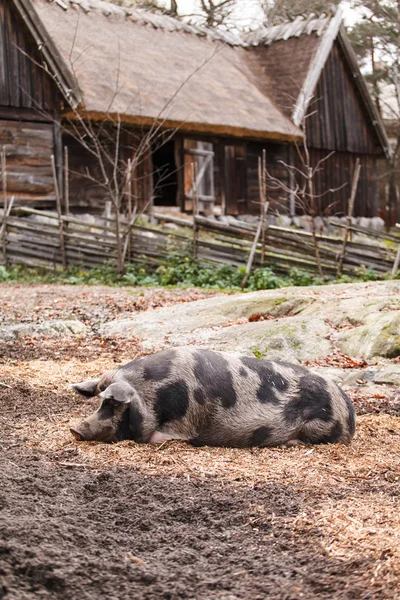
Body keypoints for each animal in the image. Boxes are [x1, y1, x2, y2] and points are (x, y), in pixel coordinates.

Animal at [69, 346, 356, 446]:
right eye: (99, 402)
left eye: (114, 404)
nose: (75, 429)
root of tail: (349, 408)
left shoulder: (185, 423)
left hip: (319, 426)